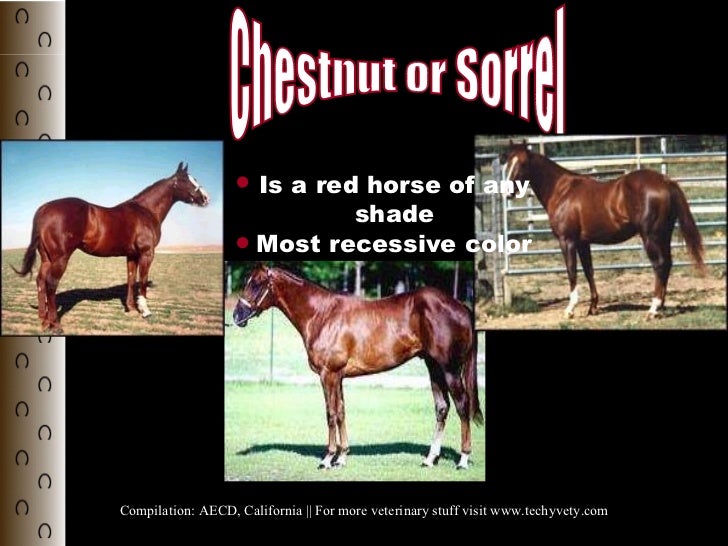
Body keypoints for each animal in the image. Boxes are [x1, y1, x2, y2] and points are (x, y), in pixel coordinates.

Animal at [12, 162, 210, 333]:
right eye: (186, 180)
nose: (205, 198)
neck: (146, 210)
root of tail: (45, 208)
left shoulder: (131, 255)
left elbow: (131, 279)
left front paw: (131, 308)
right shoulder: (147, 253)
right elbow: (143, 280)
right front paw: (145, 311)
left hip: (47, 258)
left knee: (40, 281)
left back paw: (44, 321)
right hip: (60, 258)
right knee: (51, 284)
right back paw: (56, 325)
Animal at [232, 264, 484, 469]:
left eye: (257, 284)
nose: (236, 316)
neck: (322, 314)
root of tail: (460, 306)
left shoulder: (328, 375)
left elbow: (331, 413)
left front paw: (327, 459)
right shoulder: (339, 377)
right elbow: (342, 412)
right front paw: (342, 457)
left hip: (450, 370)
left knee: (462, 406)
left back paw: (463, 459)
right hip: (434, 367)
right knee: (442, 408)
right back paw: (430, 459)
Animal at [503, 141, 705, 319]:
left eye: (522, 164)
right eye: (507, 162)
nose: (507, 192)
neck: (562, 190)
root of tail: (665, 181)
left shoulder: (567, 241)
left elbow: (571, 271)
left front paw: (570, 309)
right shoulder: (583, 242)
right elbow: (588, 271)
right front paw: (592, 307)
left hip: (651, 237)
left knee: (660, 264)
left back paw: (653, 309)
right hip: (664, 235)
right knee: (668, 264)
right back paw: (660, 306)